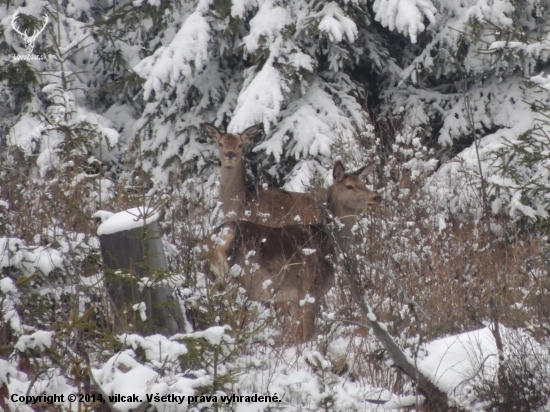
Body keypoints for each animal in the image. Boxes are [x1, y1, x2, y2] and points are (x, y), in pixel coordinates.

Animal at [208, 160, 384, 342]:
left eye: (364, 183)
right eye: (349, 186)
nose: (376, 197)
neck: (329, 244)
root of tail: (220, 239)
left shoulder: (293, 298)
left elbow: (295, 335)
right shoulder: (310, 290)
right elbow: (308, 335)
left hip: (219, 280)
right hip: (242, 281)